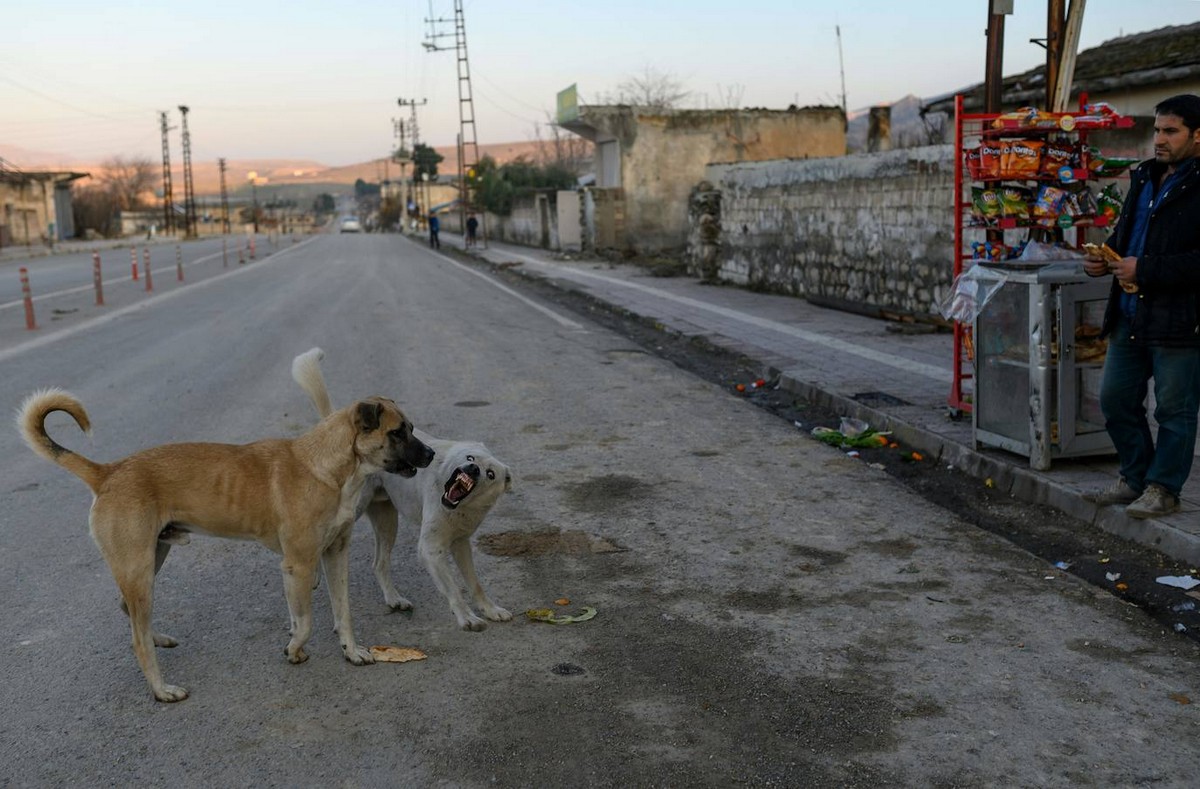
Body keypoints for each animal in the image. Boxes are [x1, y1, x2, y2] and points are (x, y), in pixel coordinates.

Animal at [16, 386, 434, 700]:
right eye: (398, 432)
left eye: (412, 428)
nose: (430, 454)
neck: (324, 466)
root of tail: (109, 472)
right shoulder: (299, 564)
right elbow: (306, 622)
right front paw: (294, 650)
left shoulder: (335, 555)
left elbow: (341, 613)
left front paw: (351, 651)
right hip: (139, 569)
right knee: (137, 638)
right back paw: (162, 689)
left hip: (152, 558)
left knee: (130, 613)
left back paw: (159, 638)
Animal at [295, 347, 516, 628]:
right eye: (470, 458)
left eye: (490, 474)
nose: (473, 470)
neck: (460, 508)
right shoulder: (431, 549)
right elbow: (454, 588)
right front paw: (467, 617)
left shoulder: (461, 544)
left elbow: (475, 583)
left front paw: (490, 609)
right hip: (354, 513)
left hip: (388, 522)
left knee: (379, 564)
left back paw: (394, 599)